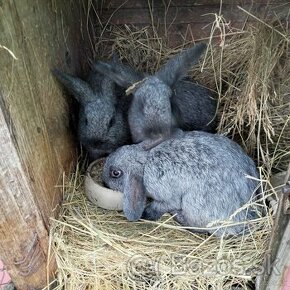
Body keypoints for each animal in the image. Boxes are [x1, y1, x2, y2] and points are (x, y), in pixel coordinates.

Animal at [103, 130, 260, 237]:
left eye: (115, 173)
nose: (103, 182)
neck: (145, 162)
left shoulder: (167, 196)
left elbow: (164, 204)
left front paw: (148, 213)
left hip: (194, 205)